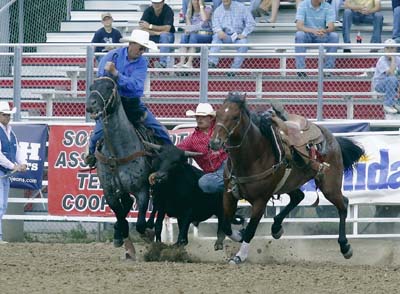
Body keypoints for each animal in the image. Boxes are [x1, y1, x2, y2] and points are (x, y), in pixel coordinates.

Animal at [86, 76, 155, 260]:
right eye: (91, 87)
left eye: (109, 87)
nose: (91, 105)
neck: (117, 150)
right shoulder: (109, 191)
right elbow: (120, 216)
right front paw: (122, 240)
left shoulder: (142, 189)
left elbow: (139, 223)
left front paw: (148, 234)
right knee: (126, 204)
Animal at [209, 92, 366, 264]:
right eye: (218, 114)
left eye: (235, 117)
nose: (215, 142)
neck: (253, 156)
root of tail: (331, 137)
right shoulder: (229, 195)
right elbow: (226, 225)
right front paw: (238, 235)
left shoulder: (260, 201)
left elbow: (250, 229)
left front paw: (239, 255)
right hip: (290, 183)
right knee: (299, 196)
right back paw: (276, 227)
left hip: (329, 186)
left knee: (343, 205)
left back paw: (345, 246)